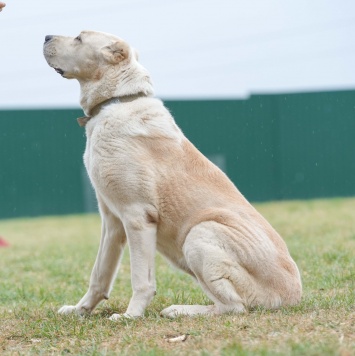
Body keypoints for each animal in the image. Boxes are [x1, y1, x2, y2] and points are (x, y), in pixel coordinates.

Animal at [43, 31, 302, 320]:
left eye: (79, 38)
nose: (46, 37)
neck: (118, 100)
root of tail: (292, 297)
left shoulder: (137, 216)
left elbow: (141, 280)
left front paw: (130, 316)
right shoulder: (112, 221)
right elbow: (99, 274)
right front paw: (80, 310)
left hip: (200, 232)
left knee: (234, 307)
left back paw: (180, 310)